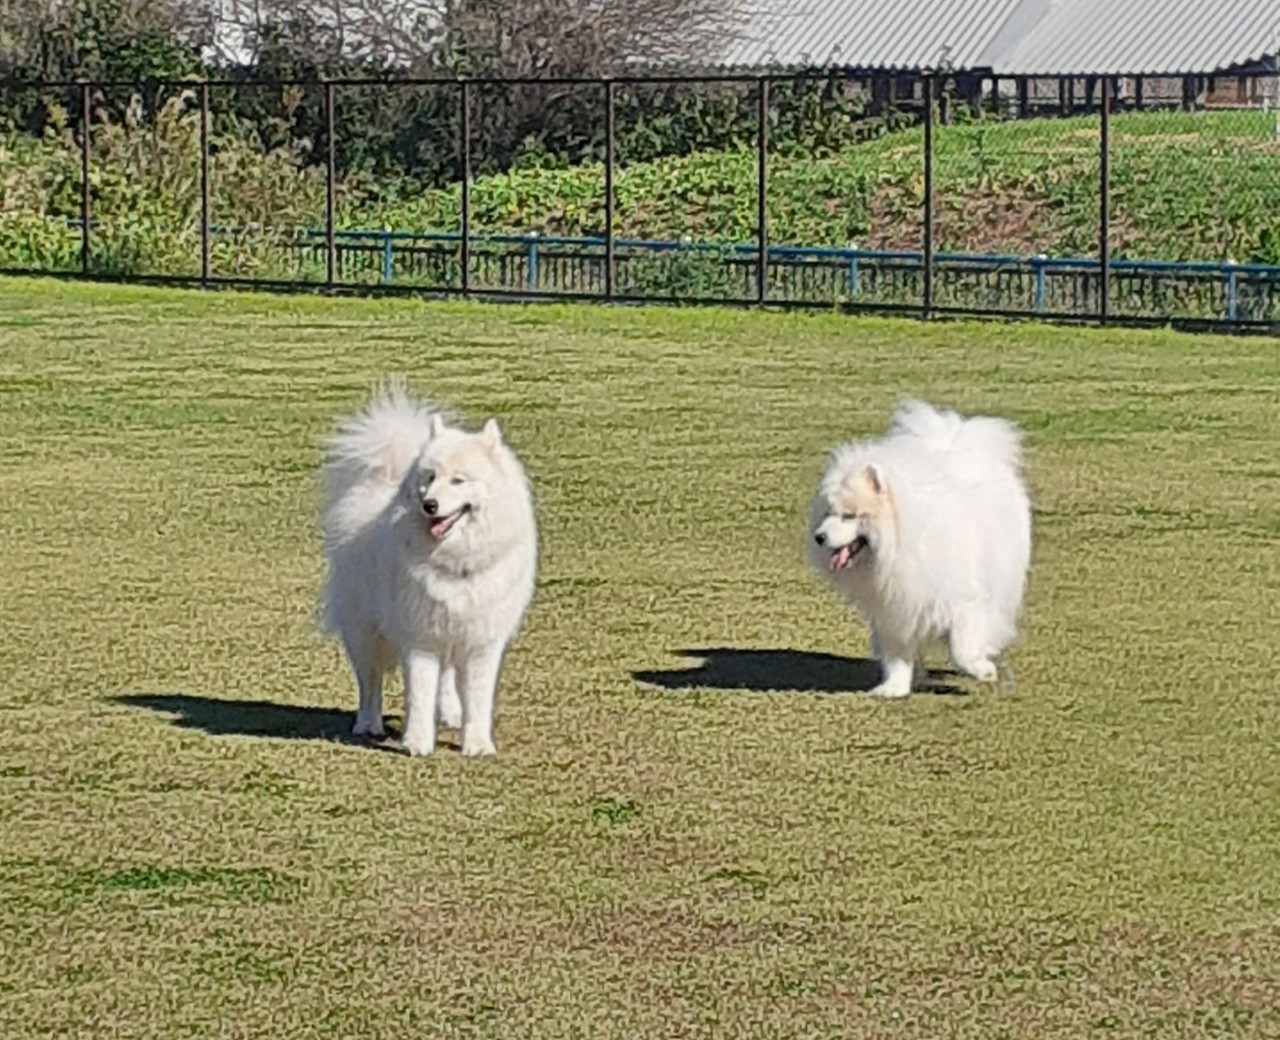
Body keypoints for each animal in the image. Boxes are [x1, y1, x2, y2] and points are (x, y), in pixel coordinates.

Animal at [321, 385, 538, 756]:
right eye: (430, 478)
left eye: (459, 480)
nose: (429, 505)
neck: (457, 561)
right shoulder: (420, 638)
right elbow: (419, 693)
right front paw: (417, 743)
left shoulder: (479, 641)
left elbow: (477, 698)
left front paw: (476, 743)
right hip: (364, 630)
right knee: (370, 681)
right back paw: (368, 724)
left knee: (447, 678)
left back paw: (450, 713)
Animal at [808, 399, 1032, 697]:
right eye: (828, 513)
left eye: (849, 516)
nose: (819, 537)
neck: (899, 545)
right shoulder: (894, 608)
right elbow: (897, 655)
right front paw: (895, 687)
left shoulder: (963, 598)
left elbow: (961, 647)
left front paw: (982, 669)